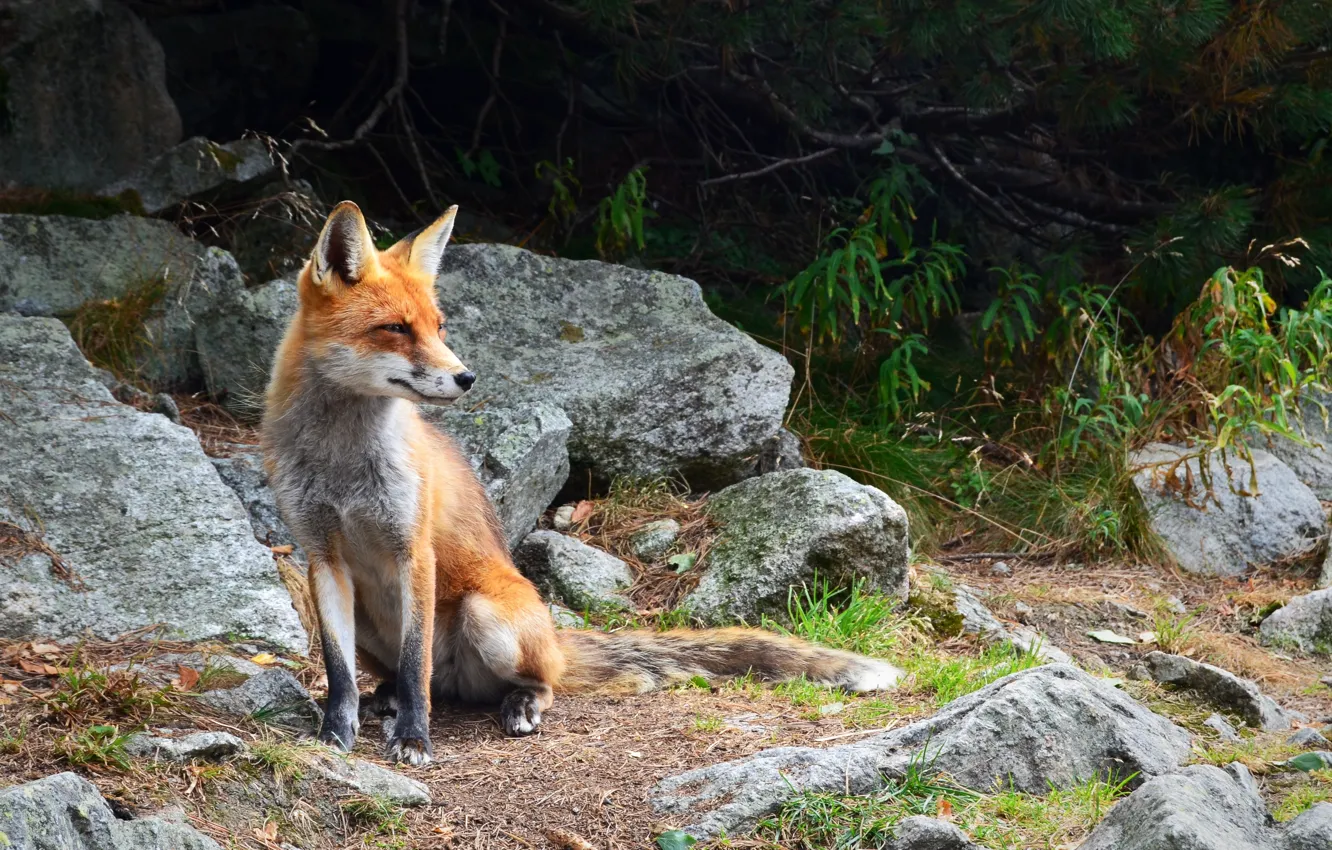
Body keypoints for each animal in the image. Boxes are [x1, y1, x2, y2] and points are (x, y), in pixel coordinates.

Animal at [259, 202, 905, 767]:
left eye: (439, 328)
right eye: (395, 328)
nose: (467, 377)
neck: (342, 464)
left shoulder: (412, 550)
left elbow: (416, 663)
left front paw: (414, 741)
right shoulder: (322, 556)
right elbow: (339, 673)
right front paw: (334, 734)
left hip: (487, 618)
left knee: (516, 682)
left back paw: (517, 704)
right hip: (372, 622)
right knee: (413, 678)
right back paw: (387, 698)